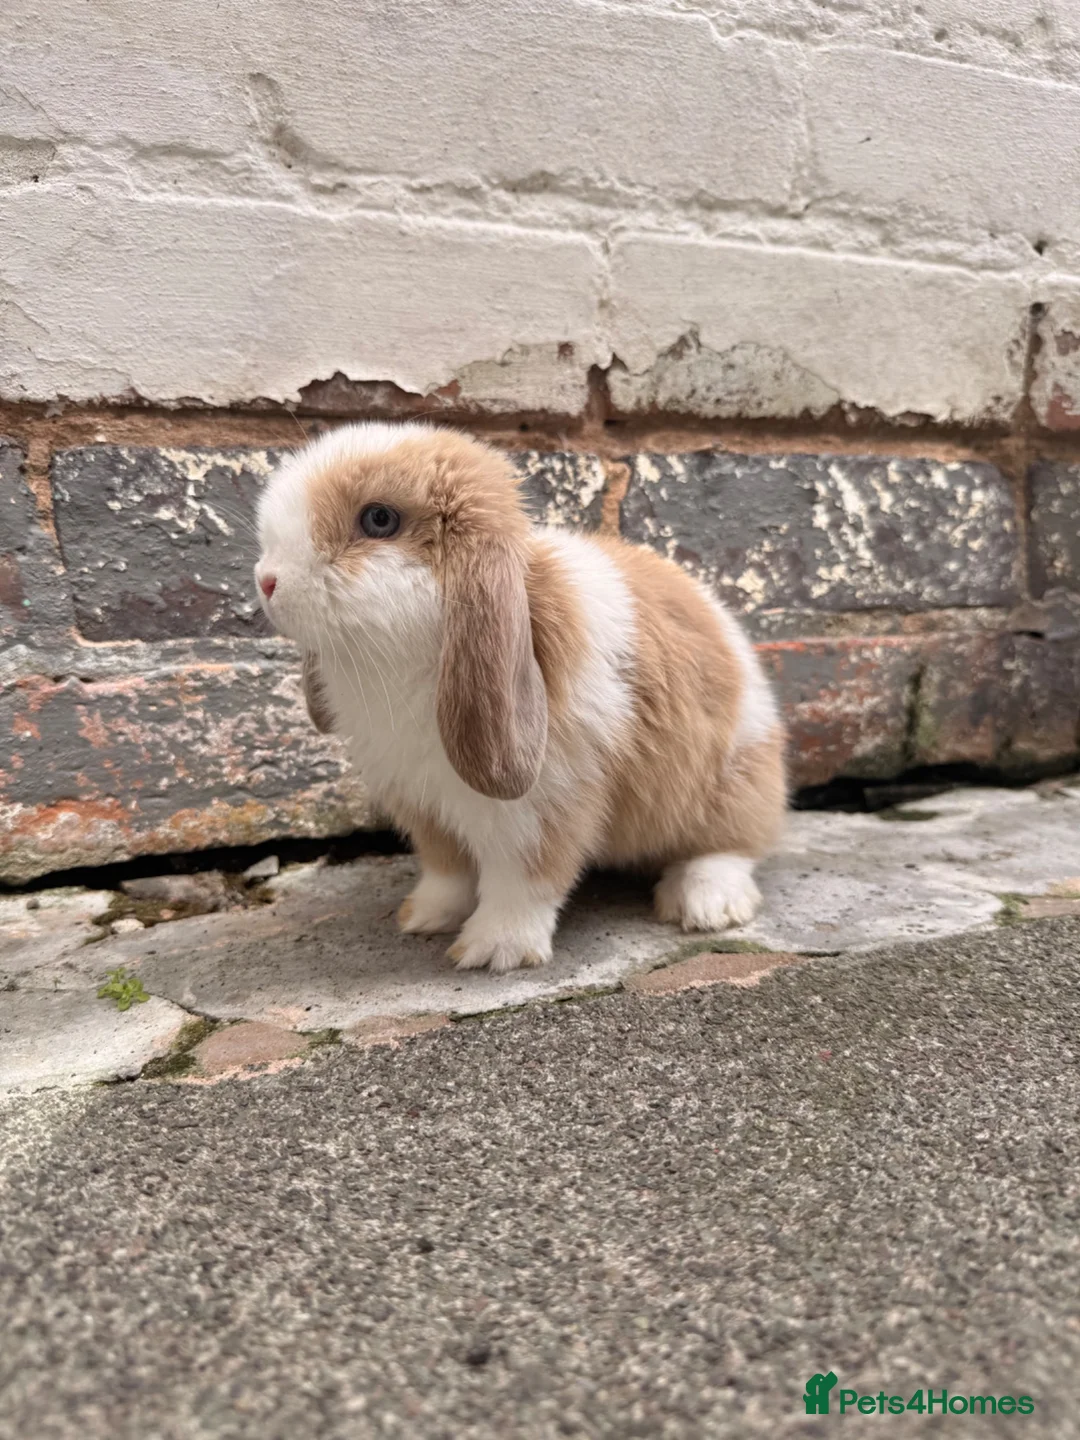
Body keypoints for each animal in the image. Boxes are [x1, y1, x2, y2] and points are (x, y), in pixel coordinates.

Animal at [255, 422, 786, 973]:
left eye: (379, 519)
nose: (266, 581)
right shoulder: (425, 809)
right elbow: (447, 873)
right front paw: (424, 917)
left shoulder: (542, 811)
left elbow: (523, 885)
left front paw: (492, 951)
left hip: (730, 789)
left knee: (733, 847)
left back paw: (705, 905)